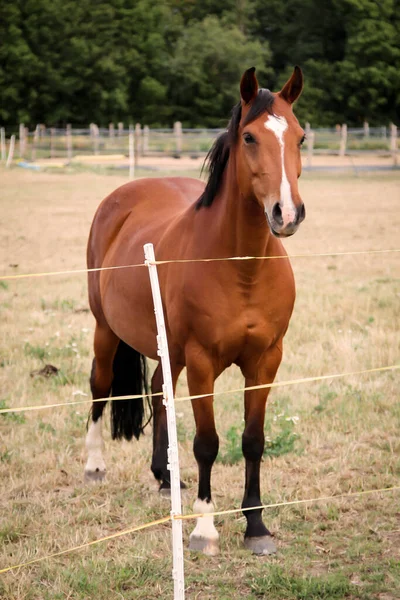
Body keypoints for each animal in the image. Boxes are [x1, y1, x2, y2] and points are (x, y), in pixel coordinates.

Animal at [83, 64, 304, 552]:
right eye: (249, 137)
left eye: (301, 136)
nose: (286, 213)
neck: (241, 268)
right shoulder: (203, 363)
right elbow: (207, 442)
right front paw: (204, 528)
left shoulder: (266, 361)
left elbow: (253, 439)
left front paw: (256, 525)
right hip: (106, 329)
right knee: (100, 386)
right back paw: (94, 466)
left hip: (169, 349)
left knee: (159, 392)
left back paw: (165, 477)